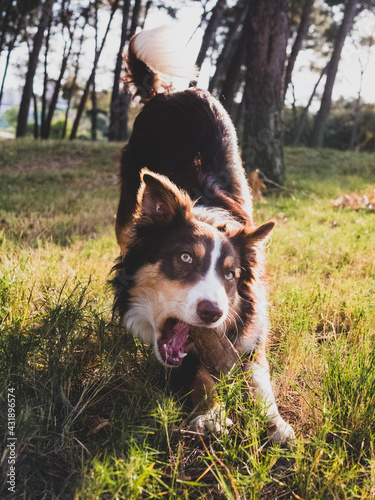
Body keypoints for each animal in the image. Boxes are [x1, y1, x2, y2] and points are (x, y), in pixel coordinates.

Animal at [113, 25, 296, 444]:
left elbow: (260, 378)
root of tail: (165, 91)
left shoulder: (251, 332)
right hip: (127, 202)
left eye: (230, 275)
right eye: (184, 258)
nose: (212, 313)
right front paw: (212, 413)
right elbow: (200, 377)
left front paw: (275, 422)